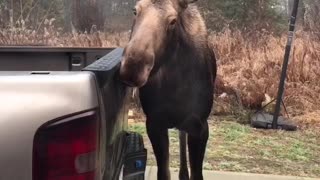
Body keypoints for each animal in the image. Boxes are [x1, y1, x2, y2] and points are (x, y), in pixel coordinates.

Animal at [119, 0, 218, 179]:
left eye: (173, 21)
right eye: (135, 11)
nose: (132, 68)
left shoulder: (200, 125)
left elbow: (197, 174)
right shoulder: (154, 123)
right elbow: (163, 173)